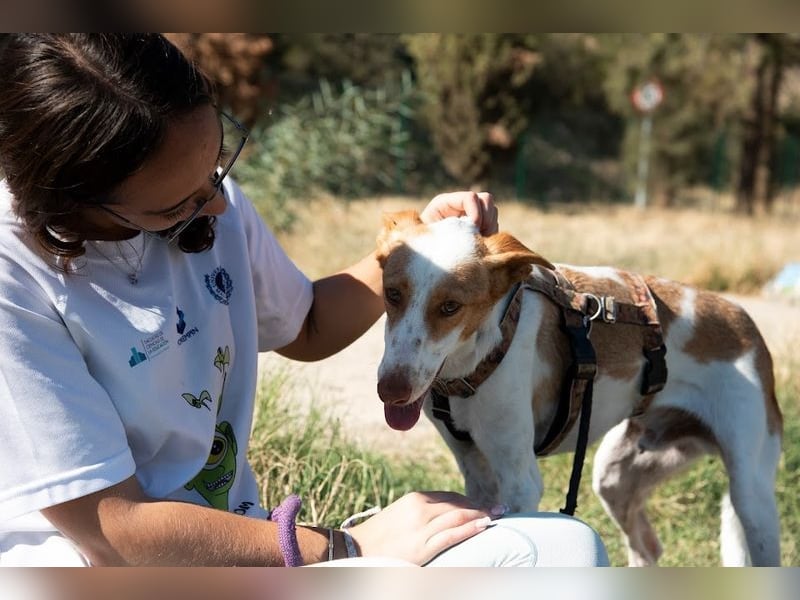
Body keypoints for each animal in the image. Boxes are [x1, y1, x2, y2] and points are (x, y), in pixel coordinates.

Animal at [374, 212, 780, 568]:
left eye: (450, 307)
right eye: (392, 294)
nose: (390, 390)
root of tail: (746, 323)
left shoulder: (520, 483)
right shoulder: (477, 473)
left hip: (751, 495)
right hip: (615, 475)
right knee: (648, 547)